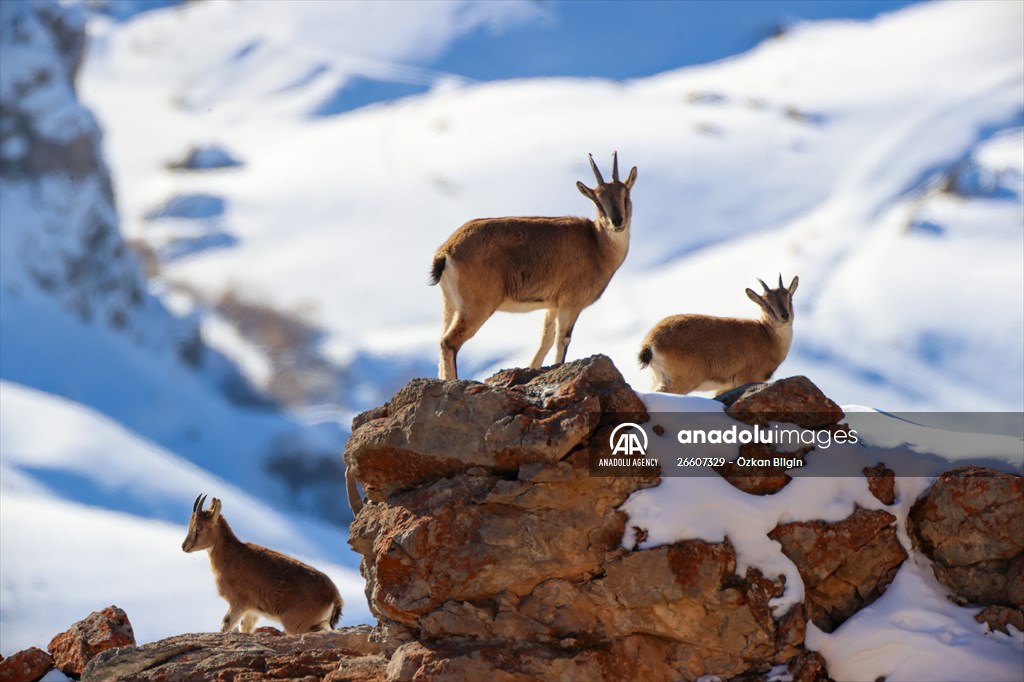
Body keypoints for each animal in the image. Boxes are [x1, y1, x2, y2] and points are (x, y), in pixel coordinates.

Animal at [182, 494, 343, 634]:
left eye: (199, 527)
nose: (184, 546)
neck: (230, 555)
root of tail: (335, 597)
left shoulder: (239, 602)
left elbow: (225, 626)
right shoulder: (252, 610)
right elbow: (244, 629)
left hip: (297, 624)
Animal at [430, 152, 638, 380]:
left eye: (625, 194)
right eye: (597, 200)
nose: (617, 221)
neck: (597, 244)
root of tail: (446, 251)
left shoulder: (552, 305)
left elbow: (545, 341)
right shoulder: (570, 303)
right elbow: (562, 341)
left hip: (450, 304)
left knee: (441, 341)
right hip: (476, 306)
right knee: (449, 342)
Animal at [638, 275, 799, 395]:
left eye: (789, 298)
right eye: (766, 304)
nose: (785, 315)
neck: (767, 337)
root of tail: (650, 342)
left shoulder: (726, 386)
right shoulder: (744, 378)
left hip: (658, 378)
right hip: (682, 380)